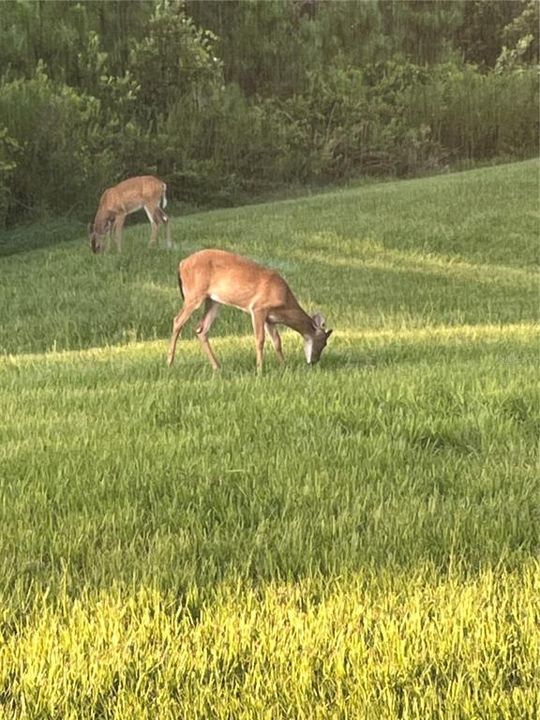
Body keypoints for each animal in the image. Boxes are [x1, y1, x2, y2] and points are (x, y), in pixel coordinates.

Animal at [167, 248, 332, 372]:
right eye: (323, 342)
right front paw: (260, 370)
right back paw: (170, 362)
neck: (284, 302)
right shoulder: (258, 308)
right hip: (194, 295)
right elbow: (260, 340)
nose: (314, 361)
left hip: (213, 301)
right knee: (177, 321)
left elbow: (277, 342)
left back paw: (217, 367)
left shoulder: (270, 319)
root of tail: (181, 264)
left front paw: (284, 367)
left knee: (201, 329)